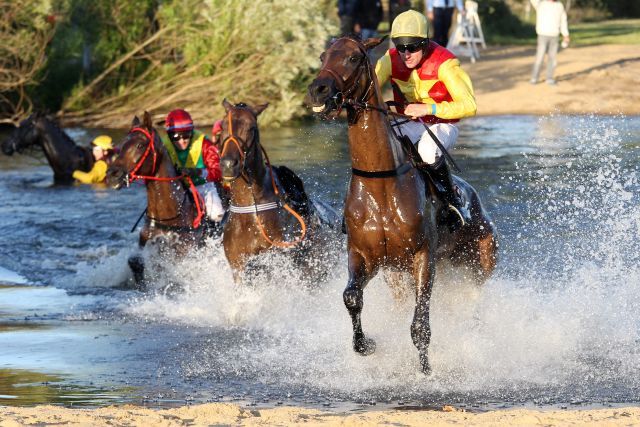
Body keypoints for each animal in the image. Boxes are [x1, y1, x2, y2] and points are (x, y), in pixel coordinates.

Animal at [105, 112, 205, 290]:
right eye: (122, 145)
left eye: (140, 145)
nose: (112, 175)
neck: (169, 215)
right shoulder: (147, 240)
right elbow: (135, 261)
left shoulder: (185, 250)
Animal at [308, 36, 498, 374]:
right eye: (322, 56)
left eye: (354, 58)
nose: (318, 90)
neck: (381, 183)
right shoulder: (363, 256)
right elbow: (351, 297)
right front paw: (366, 345)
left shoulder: (423, 257)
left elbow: (420, 324)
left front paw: (425, 369)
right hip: (398, 277)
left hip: (480, 261)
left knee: (472, 300)